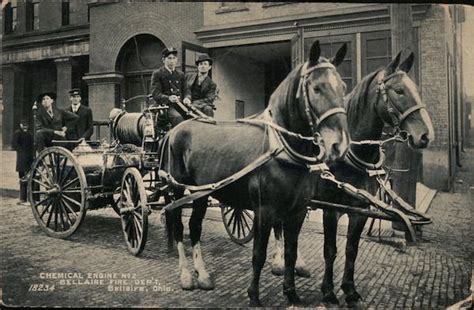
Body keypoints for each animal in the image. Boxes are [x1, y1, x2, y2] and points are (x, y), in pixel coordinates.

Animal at [161, 40, 350, 306]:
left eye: (343, 87)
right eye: (316, 88)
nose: (339, 145)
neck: (282, 150)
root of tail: (175, 129)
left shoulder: (297, 210)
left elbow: (291, 252)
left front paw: (291, 293)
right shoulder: (264, 210)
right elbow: (258, 254)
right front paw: (254, 296)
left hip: (201, 193)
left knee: (195, 226)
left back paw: (203, 274)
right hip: (178, 190)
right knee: (178, 226)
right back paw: (186, 275)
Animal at [268, 50, 436, 306]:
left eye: (415, 88)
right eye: (399, 90)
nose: (426, 135)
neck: (353, 152)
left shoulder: (360, 209)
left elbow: (351, 249)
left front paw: (349, 289)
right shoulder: (331, 209)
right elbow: (330, 250)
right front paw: (328, 291)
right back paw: (279, 263)